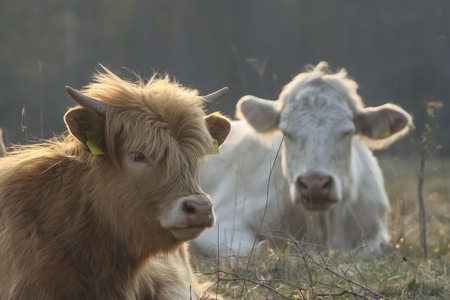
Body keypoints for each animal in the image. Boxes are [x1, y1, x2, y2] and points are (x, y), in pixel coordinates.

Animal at [193, 61, 412, 255]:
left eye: (347, 132)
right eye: (286, 133)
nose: (315, 183)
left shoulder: (376, 233)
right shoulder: (223, 222)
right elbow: (257, 250)